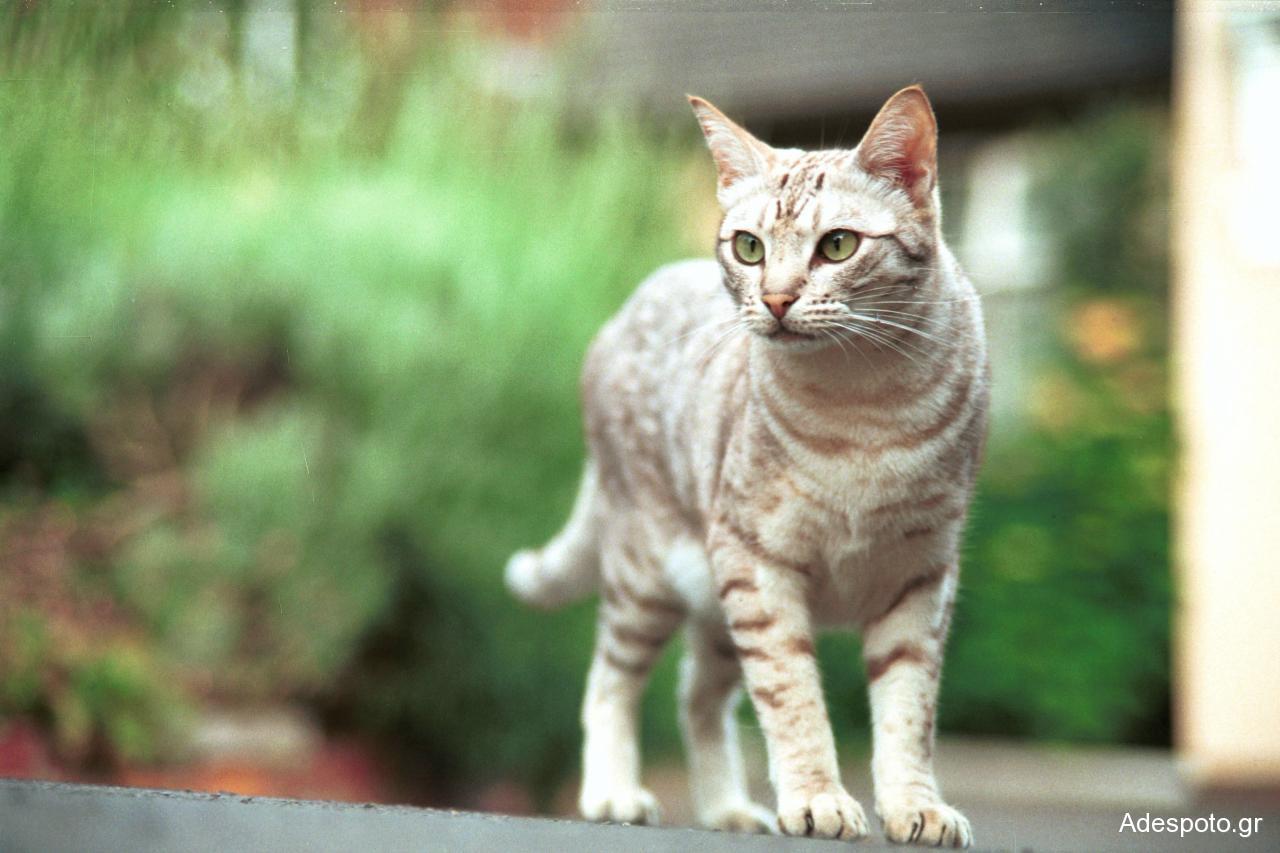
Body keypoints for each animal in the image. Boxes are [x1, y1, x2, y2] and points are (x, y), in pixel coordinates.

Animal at [504, 86, 983, 845]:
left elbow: (909, 712)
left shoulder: (921, 579)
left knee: (696, 699)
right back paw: (613, 792)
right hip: (650, 577)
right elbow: (793, 699)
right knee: (610, 680)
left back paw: (727, 809)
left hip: (715, 605)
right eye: (749, 247)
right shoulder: (760, 566)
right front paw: (817, 798)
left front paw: (916, 805)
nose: (777, 299)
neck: (864, 408)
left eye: (838, 245)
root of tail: (622, 312)